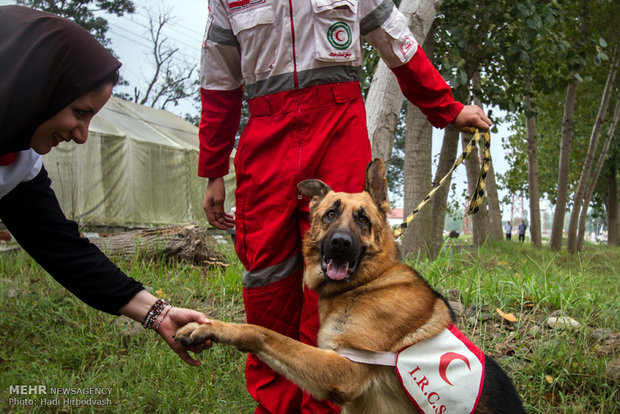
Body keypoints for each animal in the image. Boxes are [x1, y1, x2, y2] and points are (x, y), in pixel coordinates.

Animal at [176, 159, 524, 414]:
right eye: (330, 214)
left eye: (363, 220)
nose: (340, 243)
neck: (366, 284)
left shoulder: (345, 372)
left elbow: (264, 332)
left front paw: (210, 328)